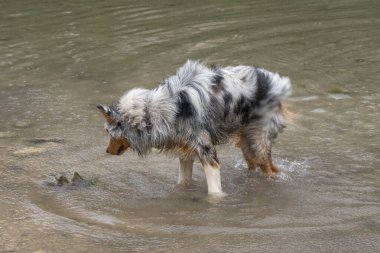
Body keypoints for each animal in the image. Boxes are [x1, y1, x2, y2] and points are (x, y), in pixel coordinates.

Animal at [97, 59, 290, 196]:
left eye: (109, 133)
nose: (106, 151)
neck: (154, 112)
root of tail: (274, 79)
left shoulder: (207, 152)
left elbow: (214, 191)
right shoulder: (185, 150)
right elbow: (183, 182)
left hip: (259, 141)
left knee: (267, 168)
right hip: (246, 143)